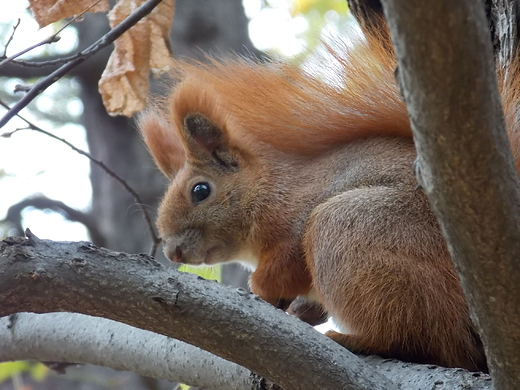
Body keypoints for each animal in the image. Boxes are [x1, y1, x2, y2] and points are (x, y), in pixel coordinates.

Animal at [138, 29, 520, 370]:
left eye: (200, 191)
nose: (173, 251)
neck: (266, 188)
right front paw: (296, 311)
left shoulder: (297, 214)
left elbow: (287, 264)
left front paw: (259, 286)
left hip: (351, 228)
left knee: (422, 339)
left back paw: (356, 340)